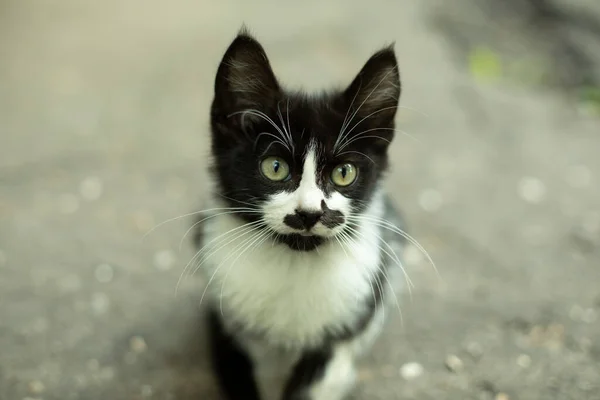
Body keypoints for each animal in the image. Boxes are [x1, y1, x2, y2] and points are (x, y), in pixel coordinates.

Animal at [197, 28, 408, 400]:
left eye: (344, 173)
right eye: (275, 167)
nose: (310, 213)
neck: (295, 261)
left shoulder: (350, 321)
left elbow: (317, 378)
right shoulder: (224, 319)